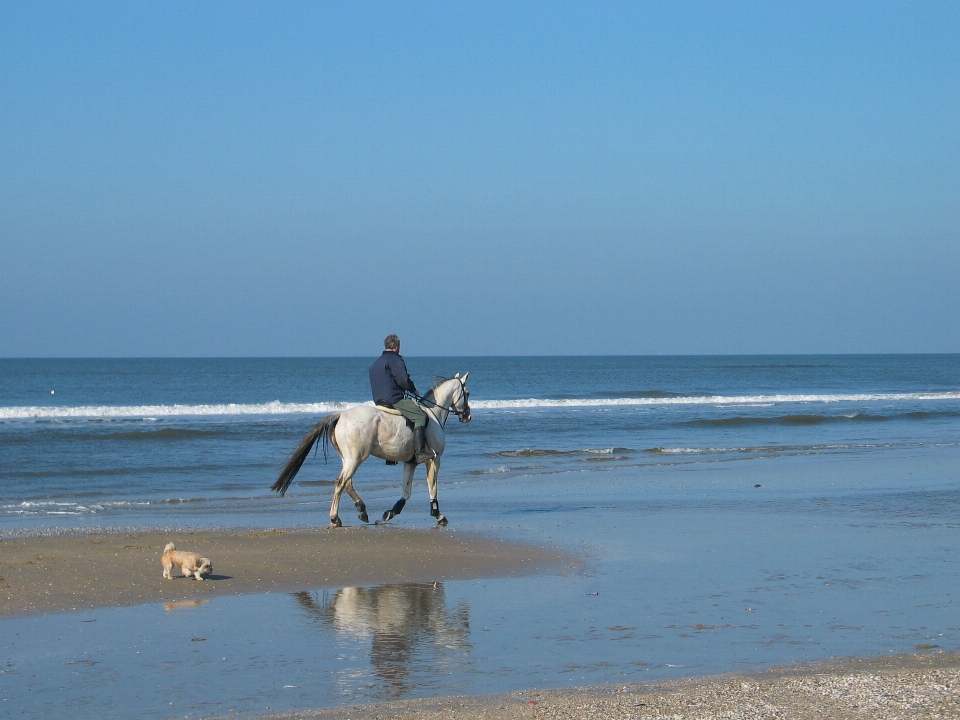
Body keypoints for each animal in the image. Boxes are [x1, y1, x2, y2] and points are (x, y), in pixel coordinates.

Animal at [272, 374, 470, 524]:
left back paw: (362, 510)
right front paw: (438, 515)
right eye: (467, 393)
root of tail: (340, 414)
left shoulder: (410, 463)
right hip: (356, 458)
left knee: (347, 483)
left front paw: (390, 512)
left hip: (348, 458)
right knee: (340, 482)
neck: (433, 413)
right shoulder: (434, 459)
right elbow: (432, 487)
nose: (467, 416)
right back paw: (335, 518)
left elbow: (406, 492)